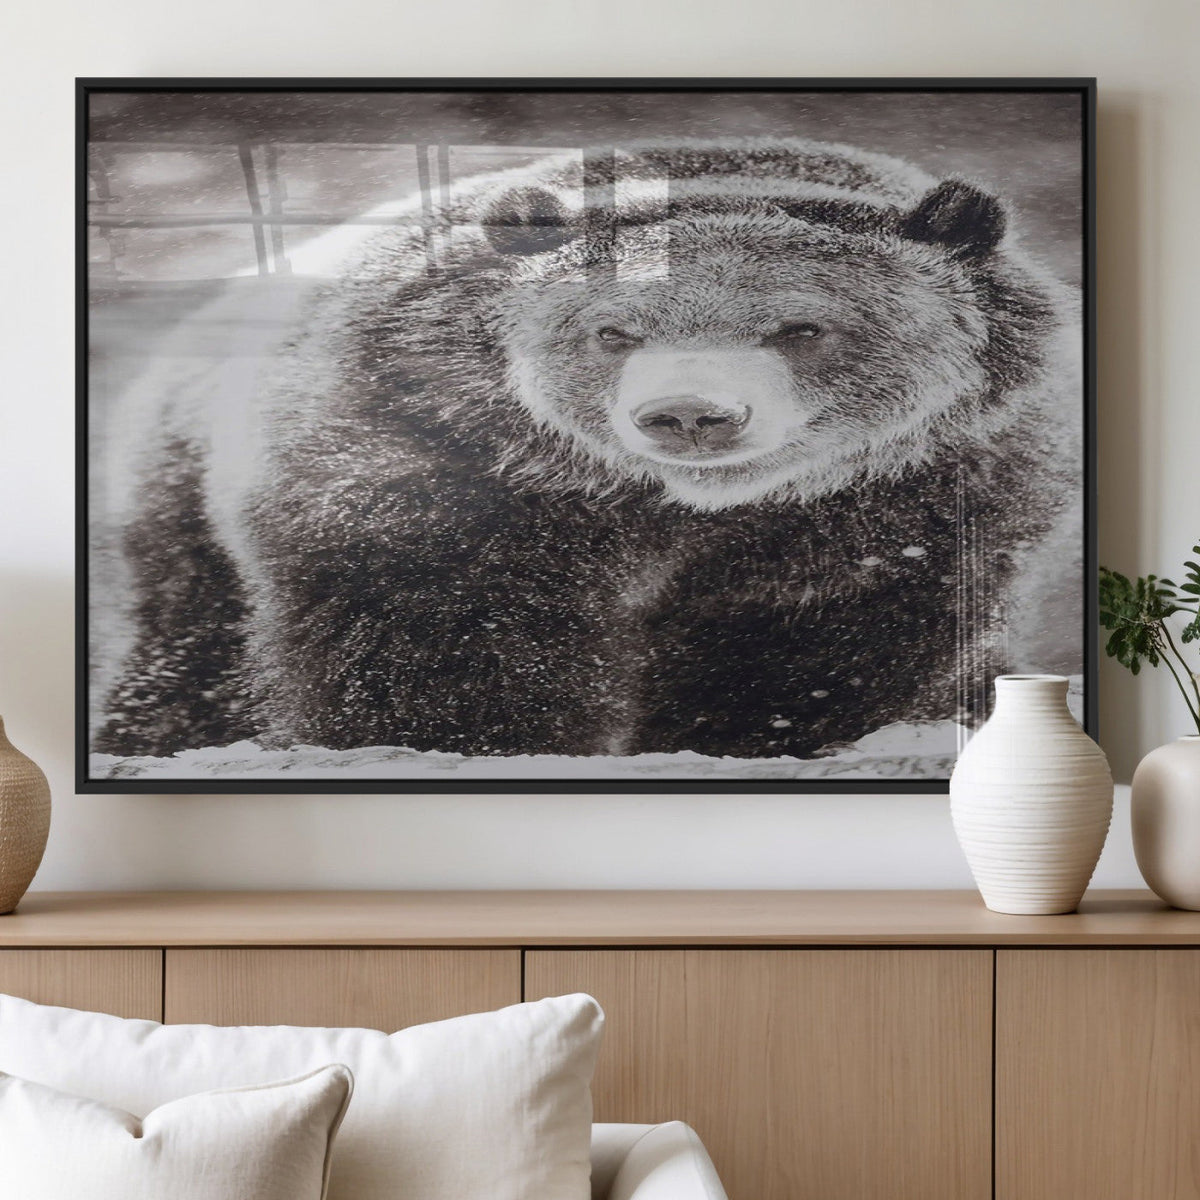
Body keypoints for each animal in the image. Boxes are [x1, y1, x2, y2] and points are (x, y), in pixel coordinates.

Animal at [93, 137, 1082, 763]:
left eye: (801, 326)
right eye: (614, 330)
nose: (690, 414)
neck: (673, 511)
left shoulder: (912, 499)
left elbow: (807, 652)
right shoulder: (436, 455)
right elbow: (441, 637)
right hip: (180, 500)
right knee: (192, 653)